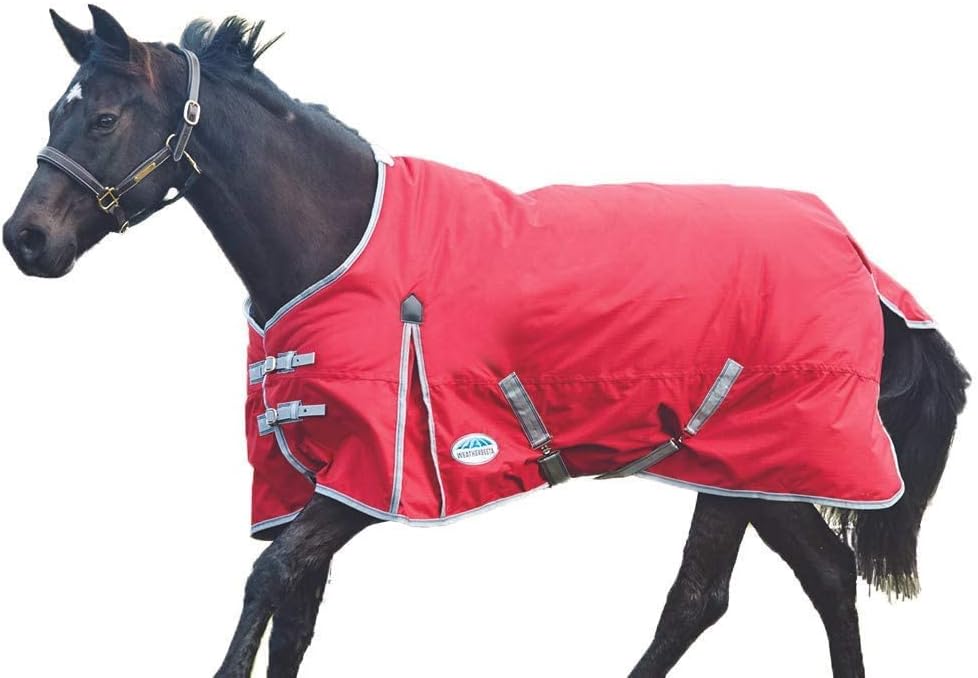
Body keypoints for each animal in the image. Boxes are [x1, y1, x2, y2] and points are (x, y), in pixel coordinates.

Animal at [2, 8, 969, 678]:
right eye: (54, 112)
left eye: (103, 119)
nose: (25, 240)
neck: (343, 245)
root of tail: (863, 265)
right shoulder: (314, 471)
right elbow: (296, 616)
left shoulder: (372, 478)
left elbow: (268, 581)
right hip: (740, 468)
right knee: (770, 586)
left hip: (767, 457)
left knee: (770, 585)